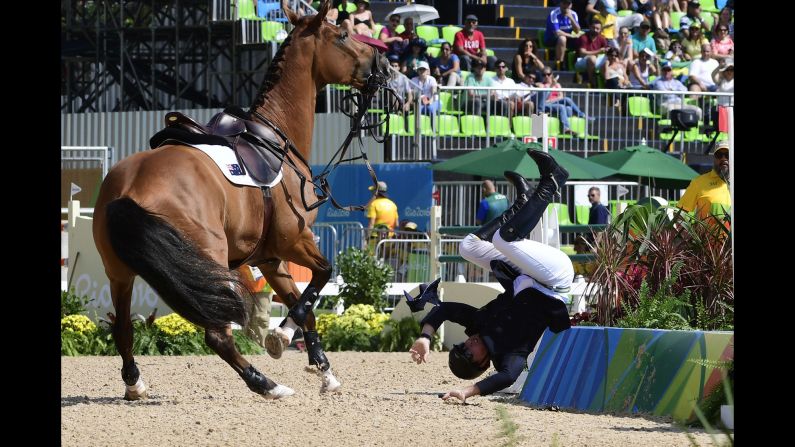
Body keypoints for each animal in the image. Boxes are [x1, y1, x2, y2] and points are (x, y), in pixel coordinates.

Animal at [91, 0, 390, 400]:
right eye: (343, 34)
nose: (383, 64)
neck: (276, 138)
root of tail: (129, 189)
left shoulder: (270, 258)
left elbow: (305, 304)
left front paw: (325, 372)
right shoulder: (295, 241)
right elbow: (320, 279)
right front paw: (281, 337)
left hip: (120, 273)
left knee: (123, 329)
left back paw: (135, 384)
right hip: (206, 260)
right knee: (217, 334)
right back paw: (266, 384)